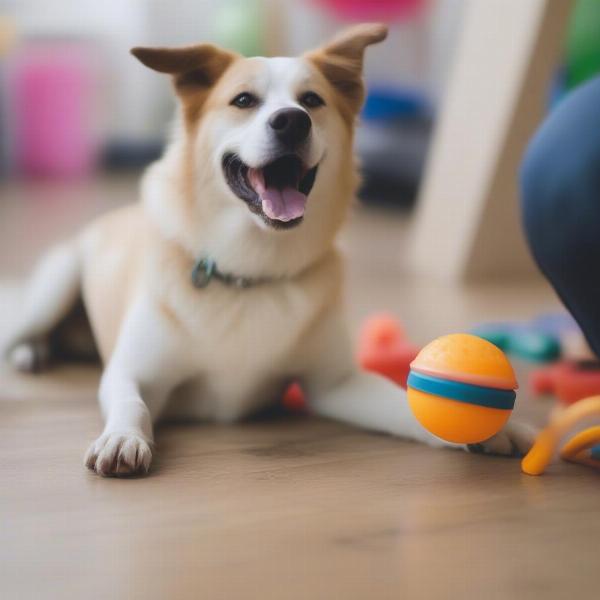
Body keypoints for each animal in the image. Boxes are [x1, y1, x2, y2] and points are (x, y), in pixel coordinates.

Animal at [3, 23, 528, 476]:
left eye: (312, 100)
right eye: (243, 100)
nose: (292, 121)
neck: (249, 269)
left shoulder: (336, 384)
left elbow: (407, 402)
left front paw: (484, 430)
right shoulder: (133, 372)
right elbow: (131, 401)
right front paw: (123, 437)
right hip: (55, 284)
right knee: (25, 327)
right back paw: (31, 351)